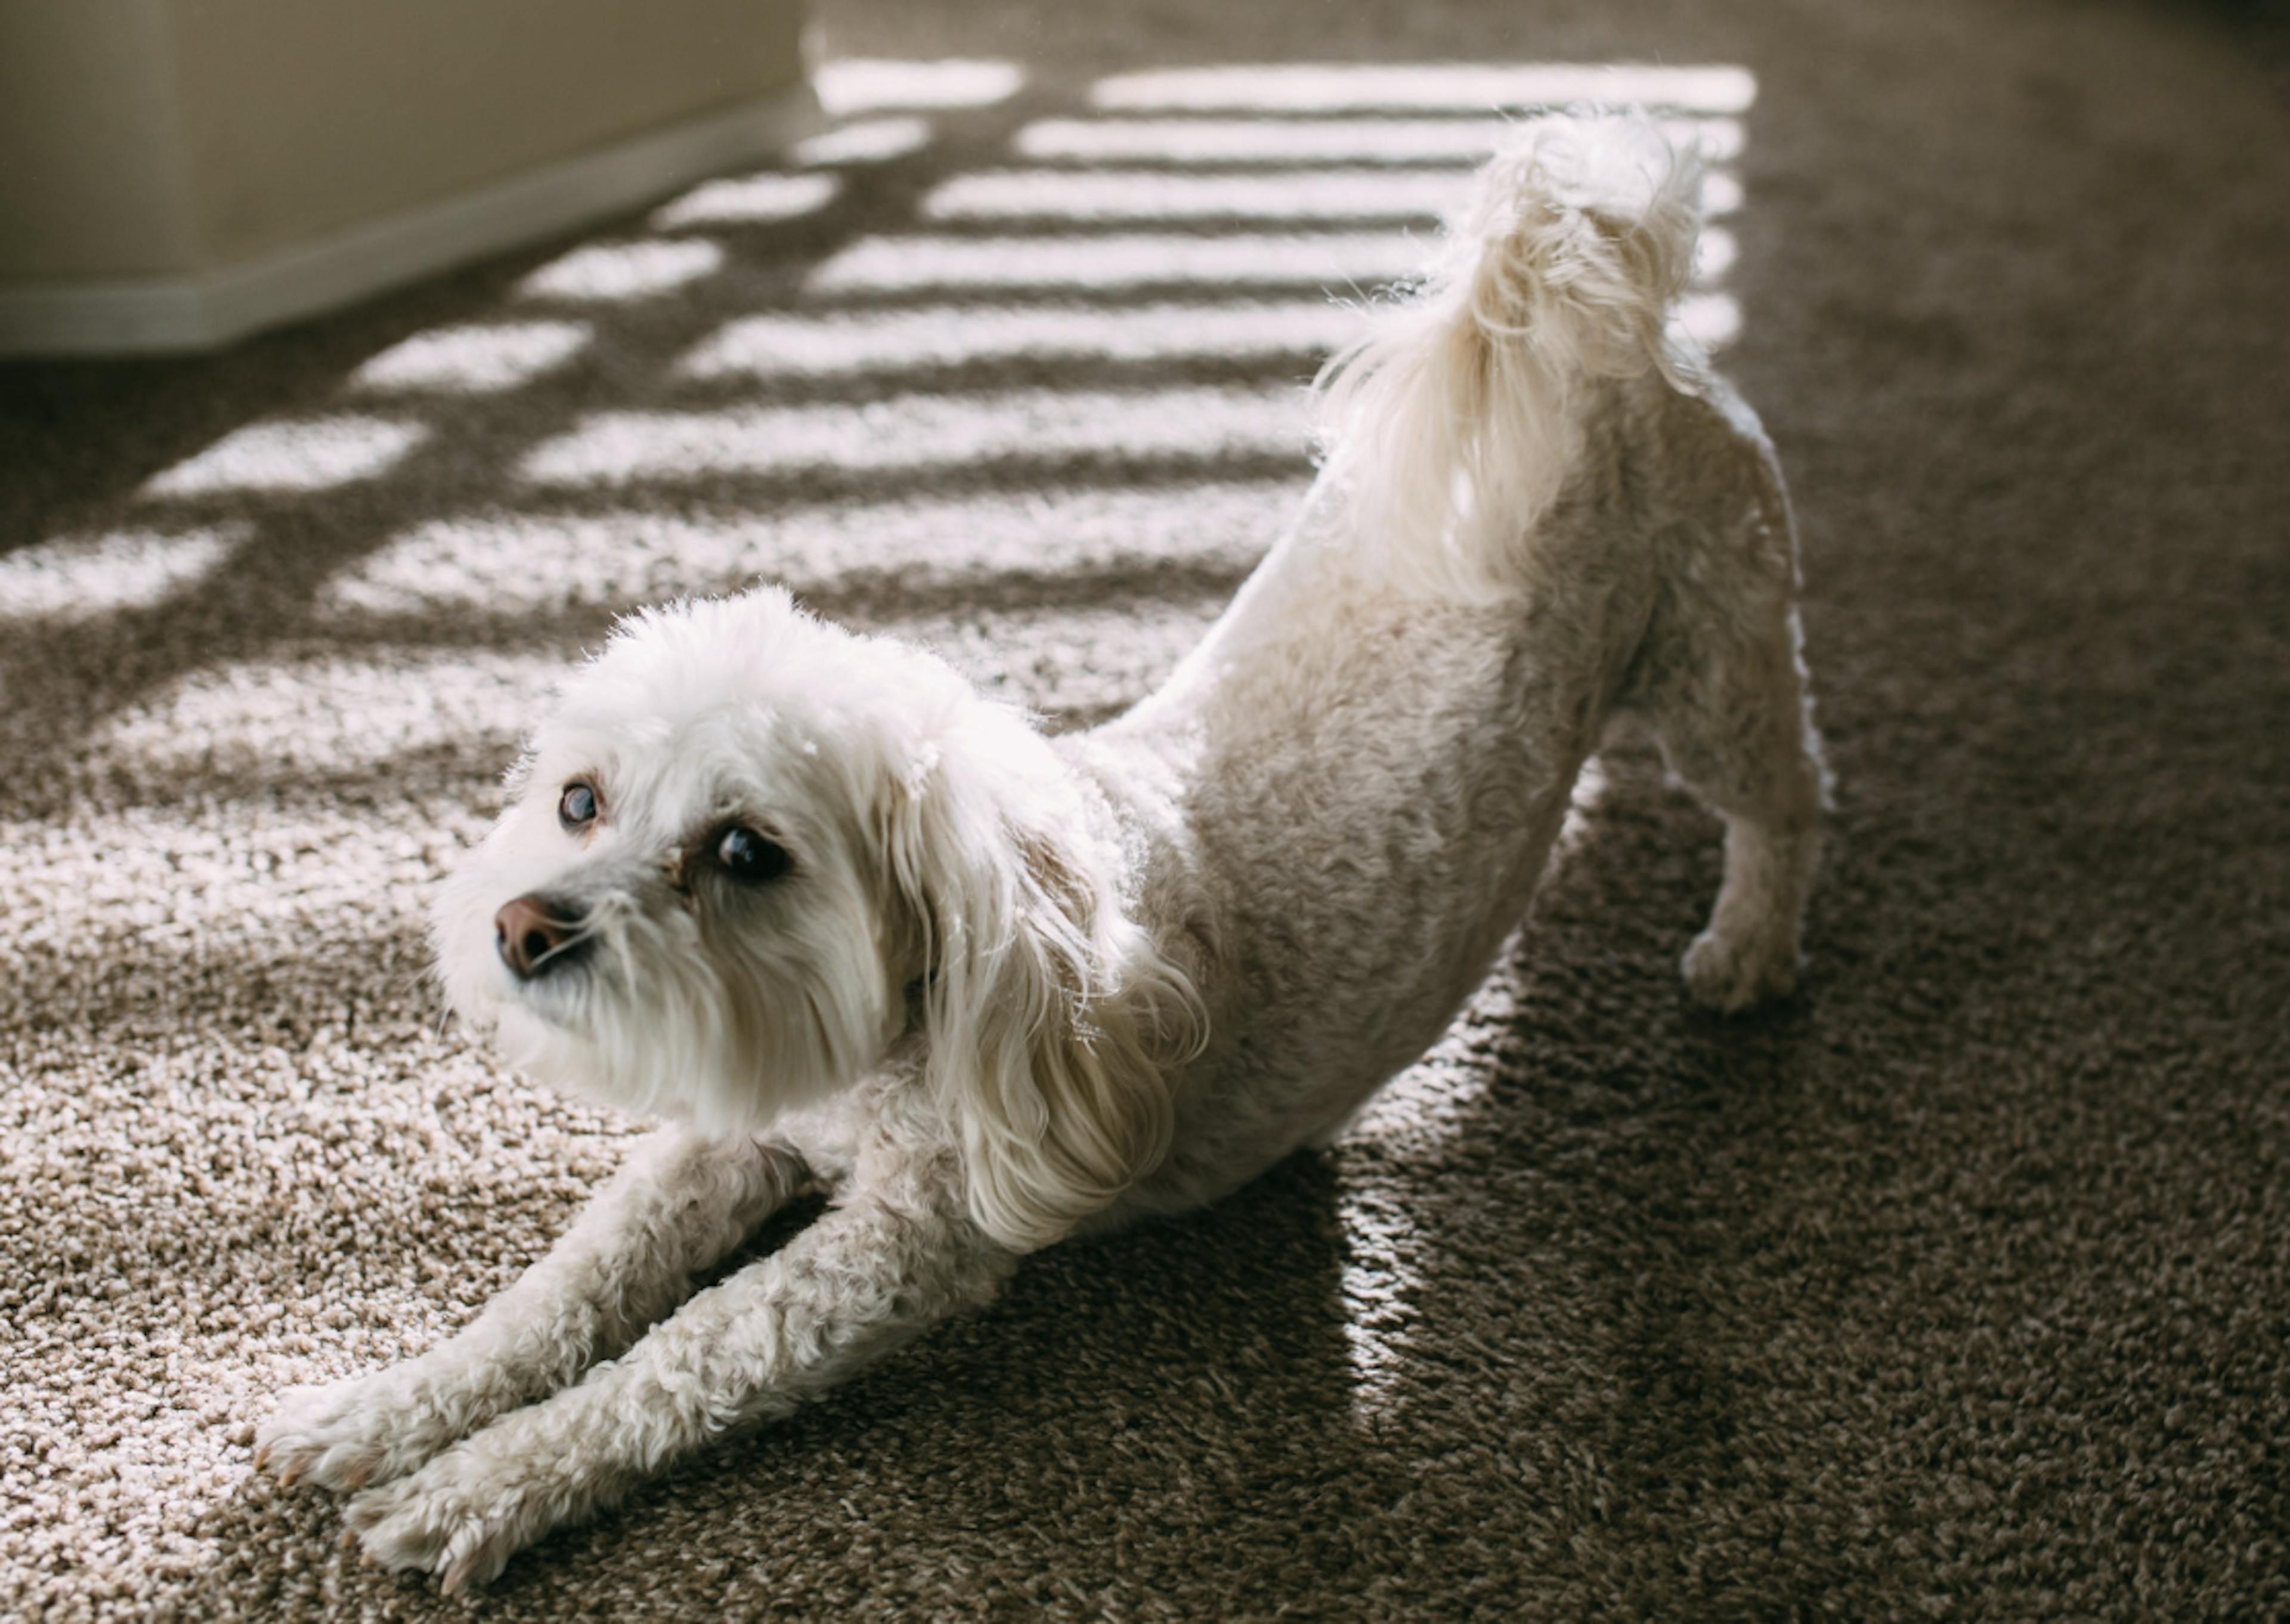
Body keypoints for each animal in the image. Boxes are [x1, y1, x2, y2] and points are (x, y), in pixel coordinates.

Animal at [255, 120, 1822, 1594]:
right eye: (582, 800)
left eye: (748, 850)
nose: (523, 927)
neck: (958, 984)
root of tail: (1598, 332)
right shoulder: (735, 1133)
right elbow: (571, 1282)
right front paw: (396, 1405)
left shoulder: (898, 1252)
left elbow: (681, 1359)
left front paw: (481, 1487)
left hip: (1716, 653)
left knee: (1788, 794)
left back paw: (1749, 946)